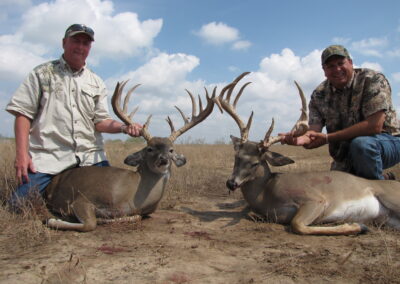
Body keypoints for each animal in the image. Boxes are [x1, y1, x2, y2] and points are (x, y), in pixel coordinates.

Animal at [44, 80, 216, 231]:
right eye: (149, 149)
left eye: (171, 150)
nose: (163, 159)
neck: (133, 196)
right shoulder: (82, 199)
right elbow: (90, 224)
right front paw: (52, 220)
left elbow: (135, 216)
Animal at [217, 72, 400, 235]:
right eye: (236, 157)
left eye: (255, 163)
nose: (231, 183)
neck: (266, 194)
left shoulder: (315, 199)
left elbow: (297, 225)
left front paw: (358, 226)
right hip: (387, 219)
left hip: (392, 197)